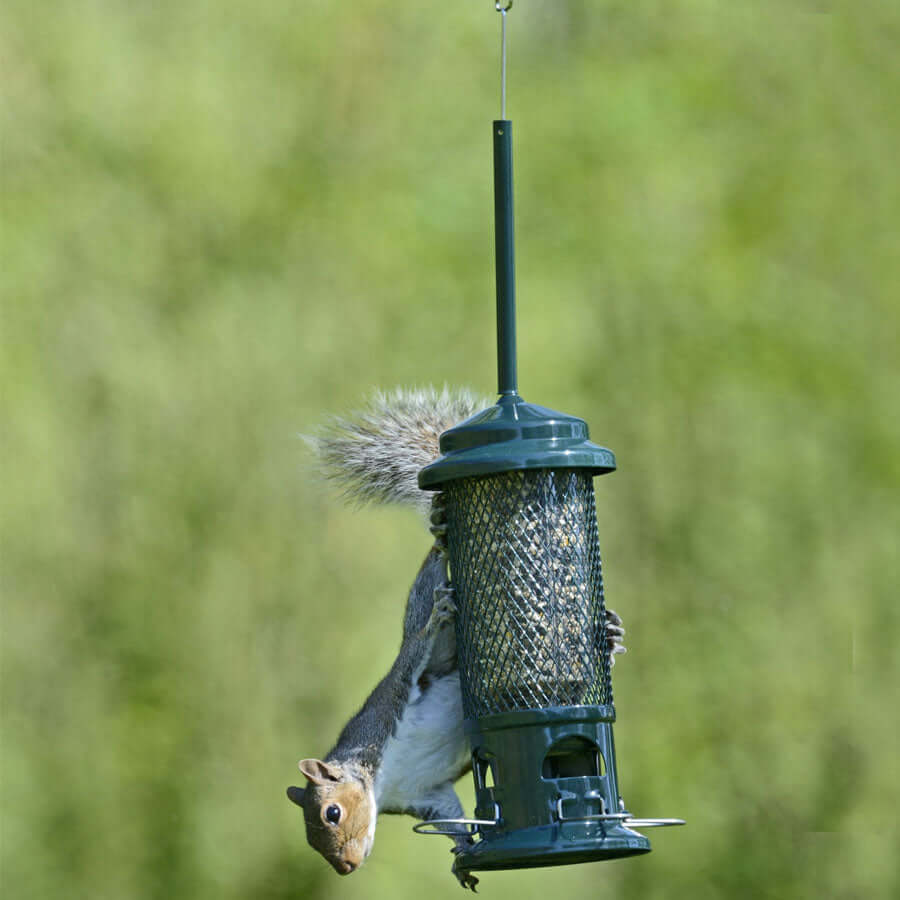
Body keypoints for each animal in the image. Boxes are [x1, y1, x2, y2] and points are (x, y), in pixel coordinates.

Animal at [287, 387, 626, 891]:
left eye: (332, 813)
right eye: (311, 839)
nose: (345, 867)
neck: (383, 777)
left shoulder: (394, 702)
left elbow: (417, 654)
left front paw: (431, 624)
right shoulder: (426, 795)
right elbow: (450, 820)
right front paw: (462, 857)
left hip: (438, 614)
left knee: (435, 579)